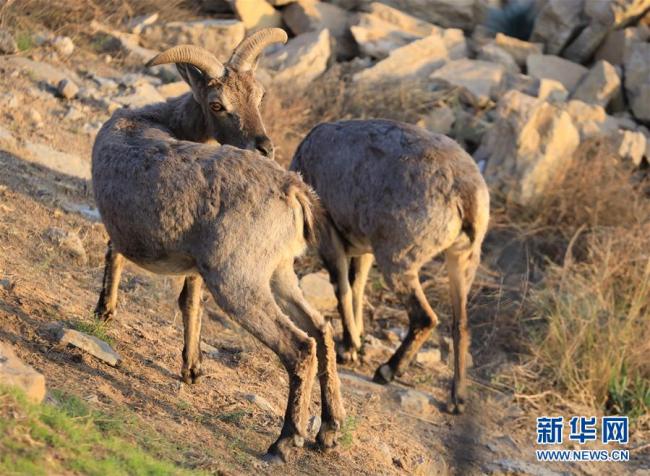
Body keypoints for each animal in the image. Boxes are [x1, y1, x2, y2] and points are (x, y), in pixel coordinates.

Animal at [92, 27, 344, 460]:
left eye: (259, 95)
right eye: (217, 103)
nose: (265, 145)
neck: (157, 119)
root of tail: (292, 190)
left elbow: (115, 252)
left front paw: (104, 311)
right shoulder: (196, 263)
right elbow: (190, 302)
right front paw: (192, 368)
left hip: (237, 278)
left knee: (298, 347)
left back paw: (285, 440)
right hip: (277, 271)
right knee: (322, 328)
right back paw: (328, 428)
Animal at [292, 119, 488, 412]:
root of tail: (466, 193)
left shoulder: (329, 235)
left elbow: (342, 287)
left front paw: (350, 346)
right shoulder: (364, 246)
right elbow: (357, 285)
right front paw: (356, 340)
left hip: (398, 255)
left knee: (424, 317)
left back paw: (388, 370)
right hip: (463, 258)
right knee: (461, 322)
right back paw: (458, 397)